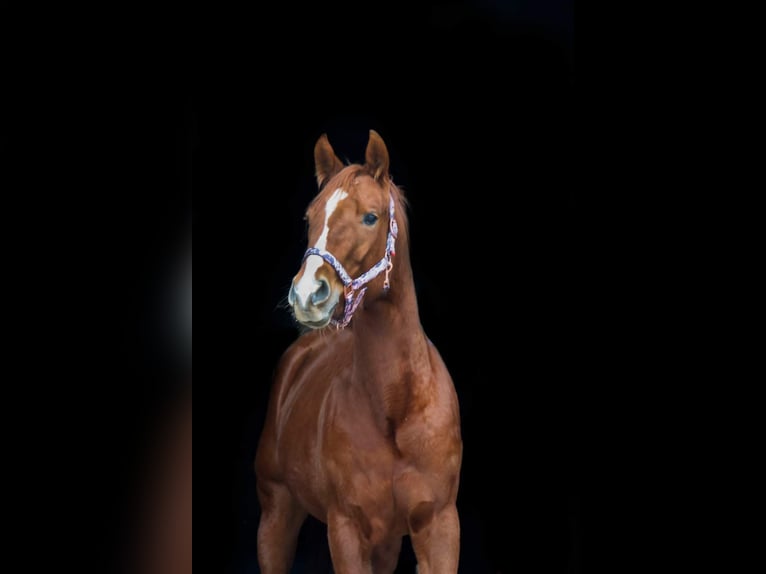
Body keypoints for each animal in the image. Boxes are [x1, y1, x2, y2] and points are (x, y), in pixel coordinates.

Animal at [256, 130, 462, 574]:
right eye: (310, 218)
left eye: (370, 217)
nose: (307, 294)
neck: (396, 406)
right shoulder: (347, 530)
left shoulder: (440, 527)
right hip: (276, 514)